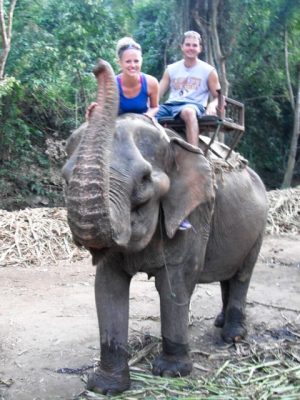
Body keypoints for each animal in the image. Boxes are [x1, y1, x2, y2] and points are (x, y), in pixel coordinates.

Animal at [62, 58, 268, 394]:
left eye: (145, 179)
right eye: (65, 178)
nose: (98, 66)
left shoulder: (196, 211)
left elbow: (175, 284)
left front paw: (171, 373)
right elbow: (107, 285)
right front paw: (105, 387)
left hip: (260, 225)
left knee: (242, 274)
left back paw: (233, 336)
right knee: (229, 275)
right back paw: (220, 322)